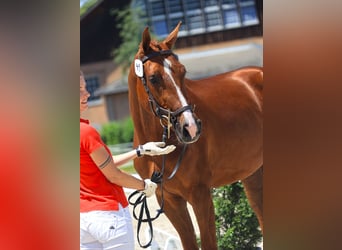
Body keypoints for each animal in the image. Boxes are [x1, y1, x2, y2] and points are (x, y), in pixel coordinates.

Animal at [127, 22, 264, 250]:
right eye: (154, 78)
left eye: (183, 72)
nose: (190, 127)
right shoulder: (171, 201)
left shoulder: (200, 196)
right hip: (254, 174)